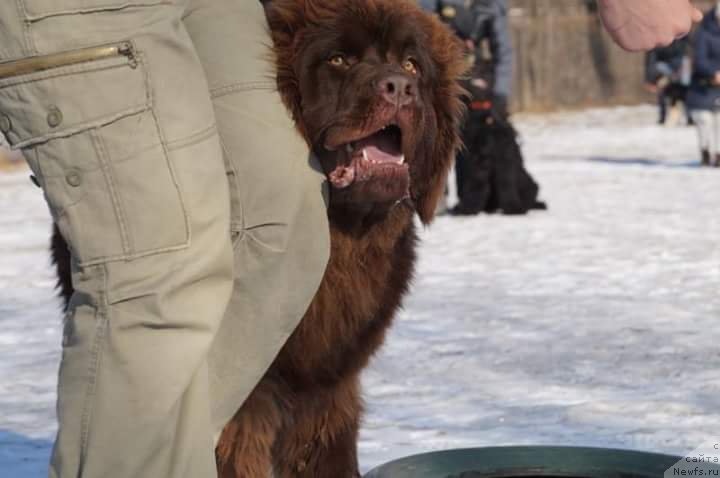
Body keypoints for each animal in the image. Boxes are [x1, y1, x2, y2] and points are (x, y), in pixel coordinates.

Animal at [52, 0, 466, 476]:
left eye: (412, 64)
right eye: (338, 60)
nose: (399, 87)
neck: (338, 244)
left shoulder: (328, 394)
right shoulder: (246, 406)